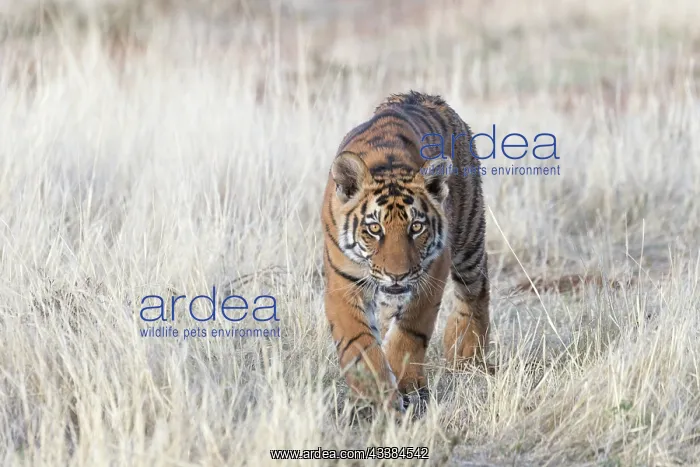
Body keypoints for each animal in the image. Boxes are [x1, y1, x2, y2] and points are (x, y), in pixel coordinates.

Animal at [320, 91, 490, 415]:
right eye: (374, 229)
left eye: (416, 227)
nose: (396, 275)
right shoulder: (343, 281)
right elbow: (359, 343)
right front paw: (375, 397)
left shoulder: (432, 270)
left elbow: (410, 332)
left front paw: (406, 385)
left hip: (469, 234)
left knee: (476, 290)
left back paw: (467, 352)